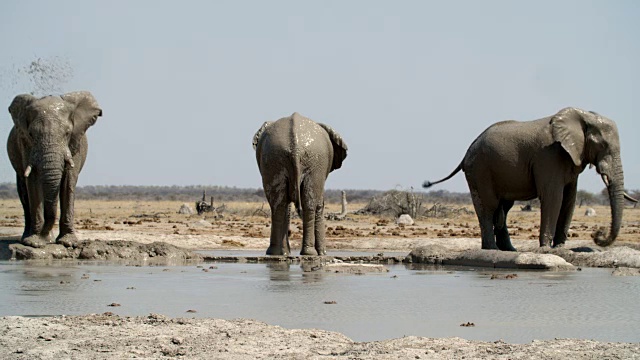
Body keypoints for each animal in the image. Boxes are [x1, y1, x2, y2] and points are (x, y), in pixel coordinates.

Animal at [5, 90, 103, 248]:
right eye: (31, 134)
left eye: (67, 133)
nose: (44, 237)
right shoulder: (25, 144)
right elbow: (33, 180)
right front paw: (35, 243)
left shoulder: (75, 144)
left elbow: (69, 181)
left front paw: (68, 243)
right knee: (23, 190)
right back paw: (28, 238)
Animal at [252, 112, 348, 256]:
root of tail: (295, 145)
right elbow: (319, 204)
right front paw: (322, 254)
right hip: (313, 162)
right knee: (309, 204)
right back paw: (309, 253)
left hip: (273, 159)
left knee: (278, 204)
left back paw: (274, 253)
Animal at [422, 108, 636, 252]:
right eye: (603, 145)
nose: (597, 235)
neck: (582, 117)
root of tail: (466, 152)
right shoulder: (549, 155)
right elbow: (553, 197)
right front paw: (546, 249)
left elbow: (569, 200)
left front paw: (560, 248)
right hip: (479, 170)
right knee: (489, 207)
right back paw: (492, 250)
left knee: (504, 207)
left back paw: (509, 250)